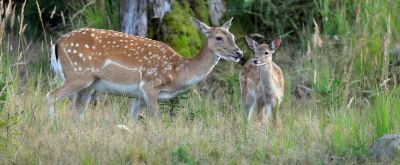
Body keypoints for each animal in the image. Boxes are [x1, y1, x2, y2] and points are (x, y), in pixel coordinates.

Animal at [45, 18, 242, 124]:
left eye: (233, 36)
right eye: (219, 37)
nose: (239, 53)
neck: (178, 71)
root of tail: (57, 43)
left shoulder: (138, 95)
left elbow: (132, 121)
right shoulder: (150, 85)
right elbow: (157, 119)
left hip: (88, 85)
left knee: (77, 110)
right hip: (78, 75)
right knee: (50, 96)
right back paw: (53, 125)